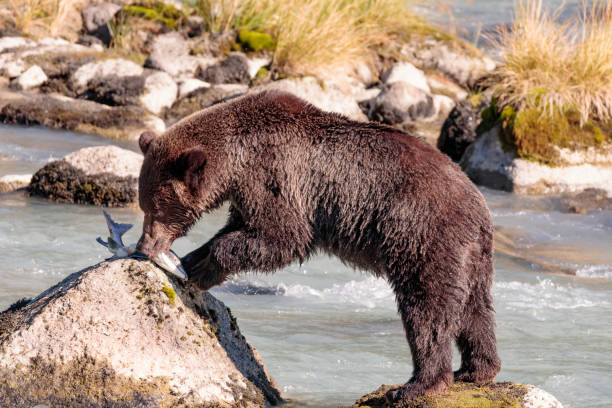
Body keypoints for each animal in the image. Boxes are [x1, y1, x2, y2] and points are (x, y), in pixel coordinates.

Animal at [137, 90, 502, 404]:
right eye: (144, 205)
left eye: (154, 208)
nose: (143, 245)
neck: (236, 160)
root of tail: (479, 205)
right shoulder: (248, 193)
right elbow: (242, 228)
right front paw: (191, 260)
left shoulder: (275, 177)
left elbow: (283, 237)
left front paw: (201, 266)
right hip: (471, 254)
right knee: (475, 308)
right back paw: (476, 369)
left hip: (420, 234)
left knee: (427, 308)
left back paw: (417, 385)